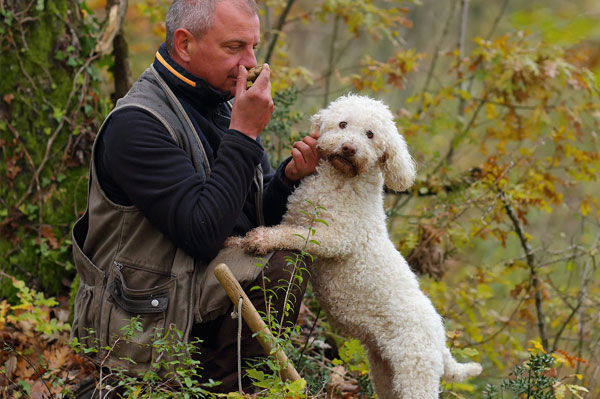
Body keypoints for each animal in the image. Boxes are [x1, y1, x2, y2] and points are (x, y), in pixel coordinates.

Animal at [232, 94, 480, 399]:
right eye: (343, 124)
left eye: (370, 134)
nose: (349, 147)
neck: (340, 181)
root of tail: (441, 339)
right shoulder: (297, 217)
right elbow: (282, 228)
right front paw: (236, 241)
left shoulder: (333, 238)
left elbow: (290, 235)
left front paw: (260, 239)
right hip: (384, 369)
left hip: (415, 373)